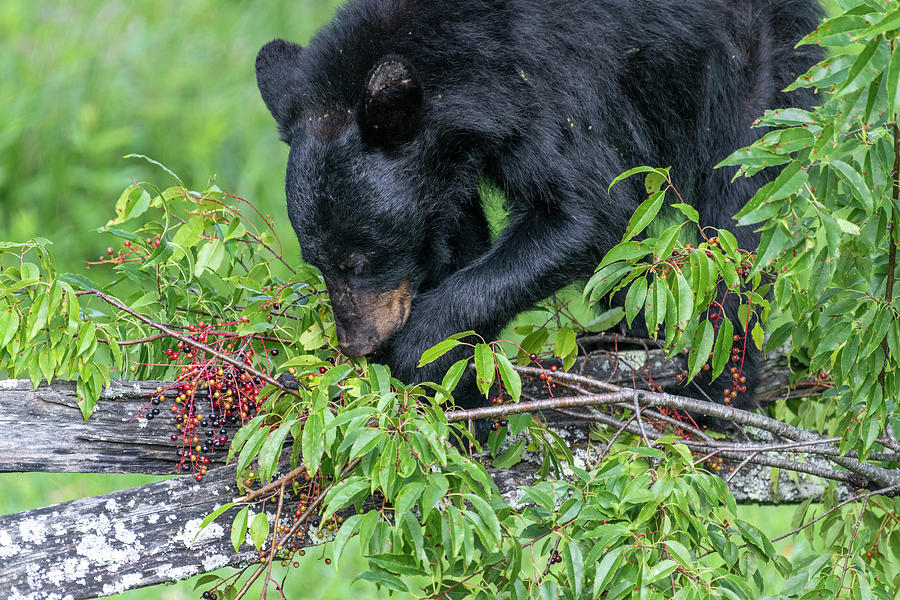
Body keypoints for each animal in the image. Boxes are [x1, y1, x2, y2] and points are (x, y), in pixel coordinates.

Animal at [258, 0, 824, 408]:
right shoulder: (445, 162)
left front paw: (420, 350)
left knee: (737, 213)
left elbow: (586, 213)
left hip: (744, 67)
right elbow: (454, 235)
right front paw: (465, 387)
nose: (357, 343)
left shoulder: (552, 84)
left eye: (358, 260)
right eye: (317, 261)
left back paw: (719, 389)